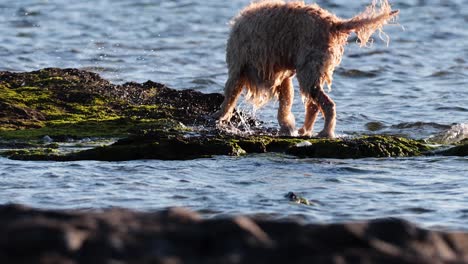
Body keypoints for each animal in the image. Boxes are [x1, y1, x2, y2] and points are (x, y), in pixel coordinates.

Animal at [216, 0, 398, 138]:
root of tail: (332, 23)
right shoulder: (283, 78)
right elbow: (285, 104)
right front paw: (287, 126)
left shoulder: (237, 69)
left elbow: (229, 98)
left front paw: (219, 118)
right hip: (312, 71)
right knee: (314, 105)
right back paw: (305, 130)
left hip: (307, 71)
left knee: (327, 105)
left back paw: (325, 132)